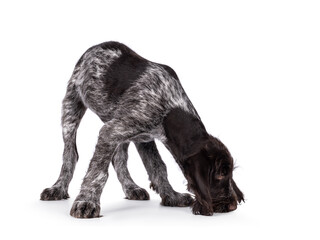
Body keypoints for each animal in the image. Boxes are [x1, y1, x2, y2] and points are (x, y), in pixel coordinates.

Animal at [41, 40, 244, 218]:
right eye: (221, 174)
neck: (171, 107)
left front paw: (172, 196)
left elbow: (157, 167)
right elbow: (98, 172)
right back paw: (58, 188)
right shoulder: (113, 130)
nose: (232, 206)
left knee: (119, 159)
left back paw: (131, 187)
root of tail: (95, 46)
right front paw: (86, 202)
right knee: (70, 154)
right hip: (71, 107)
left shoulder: (142, 137)